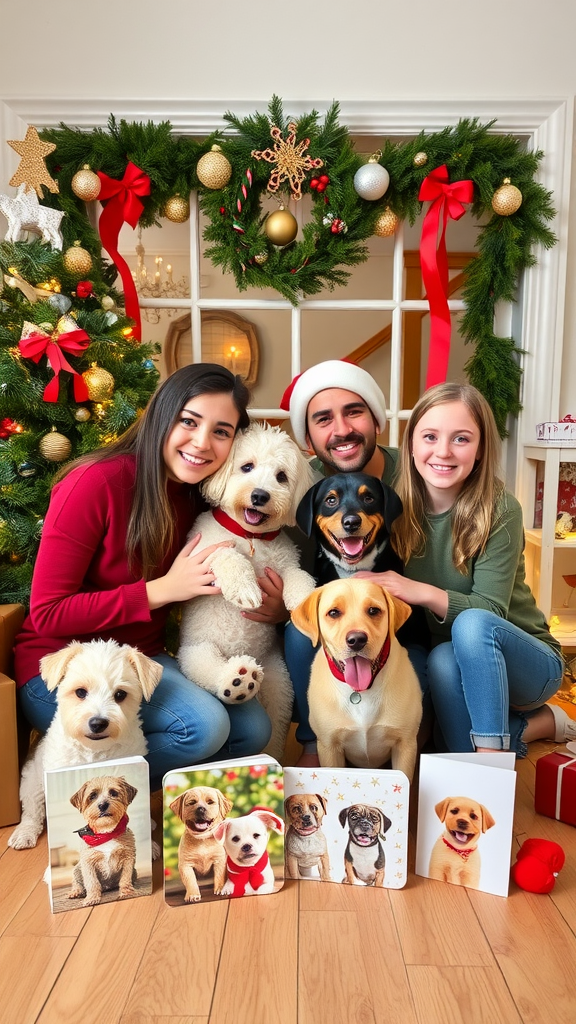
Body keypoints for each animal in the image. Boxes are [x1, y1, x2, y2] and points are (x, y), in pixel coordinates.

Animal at [8, 638, 161, 847]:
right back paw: (24, 833)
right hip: (33, 783)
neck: (95, 751)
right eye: (80, 692)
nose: (98, 723)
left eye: (120, 695)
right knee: (33, 811)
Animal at [178, 419, 315, 765]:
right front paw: (245, 589)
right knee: (213, 675)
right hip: (196, 654)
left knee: (277, 726)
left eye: (281, 476)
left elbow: (299, 576)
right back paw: (237, 682)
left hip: (280, 682)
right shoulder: (202, 553)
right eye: (247, 467)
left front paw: (303, 599)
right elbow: (227, 556)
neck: (250, 536)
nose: (260, 495)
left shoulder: (285, 563)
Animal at [291, 577, 422, 774]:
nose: (357, 640)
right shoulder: (329, 748)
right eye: (334, 612)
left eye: (373, 610)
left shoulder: (405, 745)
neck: (361, 691)